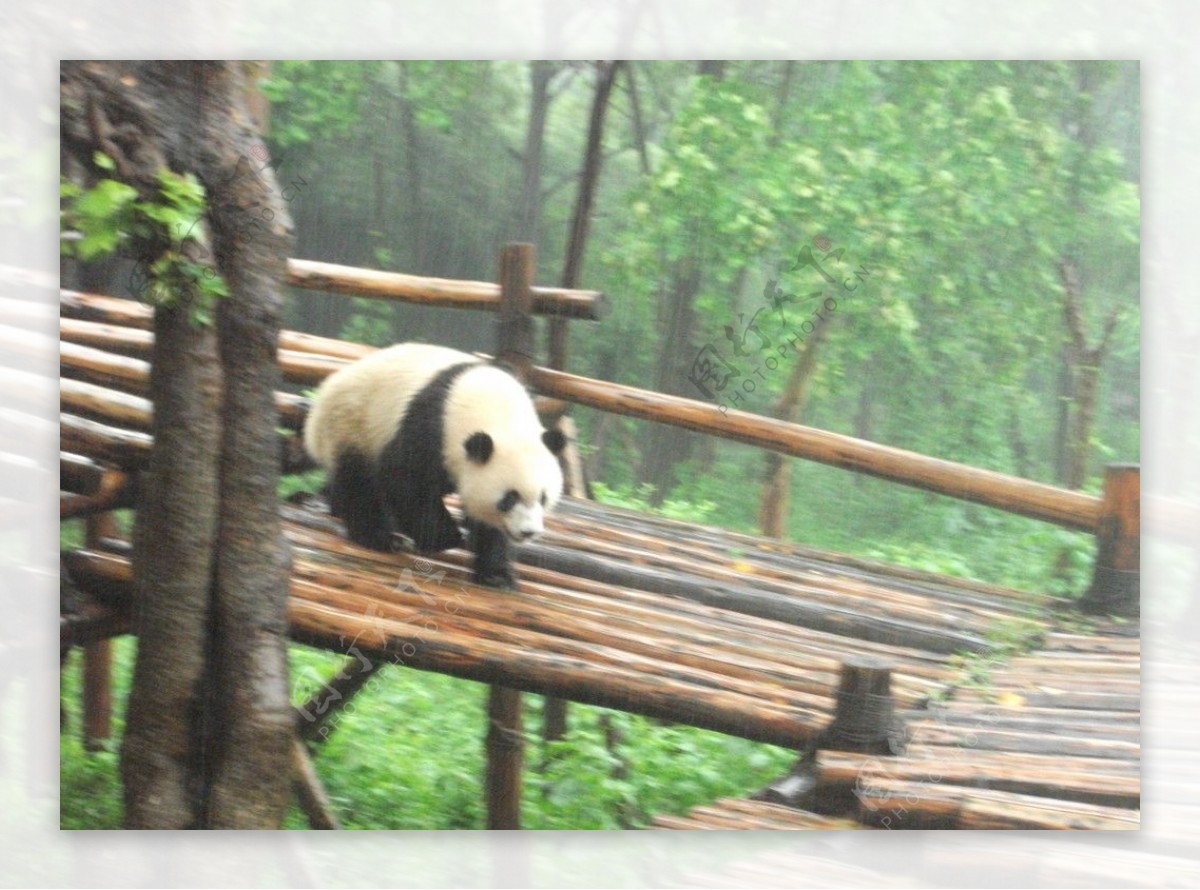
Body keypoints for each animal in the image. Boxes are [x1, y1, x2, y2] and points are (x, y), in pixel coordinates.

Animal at [300, 345, 561, 590]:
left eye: (543, 498)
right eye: (509, 498)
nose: (528, 532)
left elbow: (491, 527)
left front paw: (496, 575)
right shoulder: (430, 426)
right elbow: (403, 479)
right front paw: (447, 537)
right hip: (352, 426)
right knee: (359, 482)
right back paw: (380, 537)